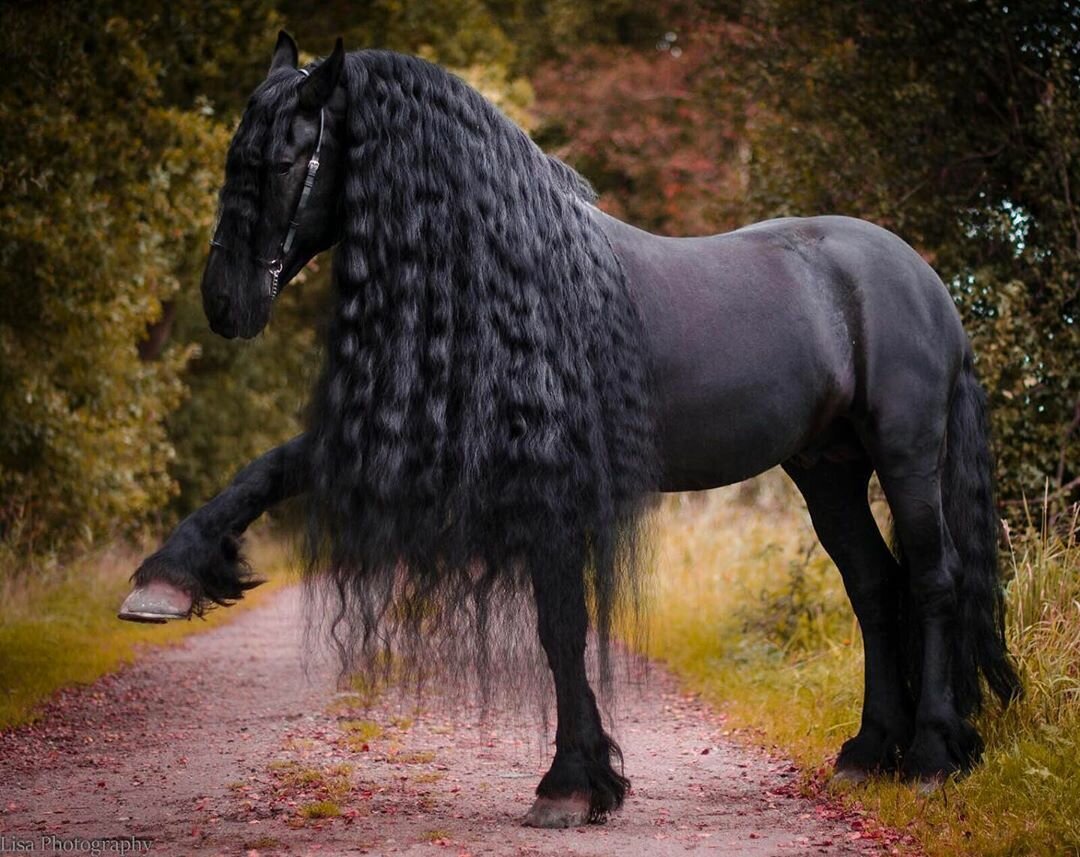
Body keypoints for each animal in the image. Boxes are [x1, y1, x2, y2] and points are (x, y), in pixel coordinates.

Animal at [120, 32, 1021, 828]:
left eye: (282, 161)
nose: (224, 301)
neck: (511, 272)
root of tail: (923, 278)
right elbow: (268, 470)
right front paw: (167, 576)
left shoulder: (549, 479)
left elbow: (561, 626)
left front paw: (570, 784)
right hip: (826, 467)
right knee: (872, 585)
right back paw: (871, 751)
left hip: (906, 455)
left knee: (932, 579)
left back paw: (932, 757)